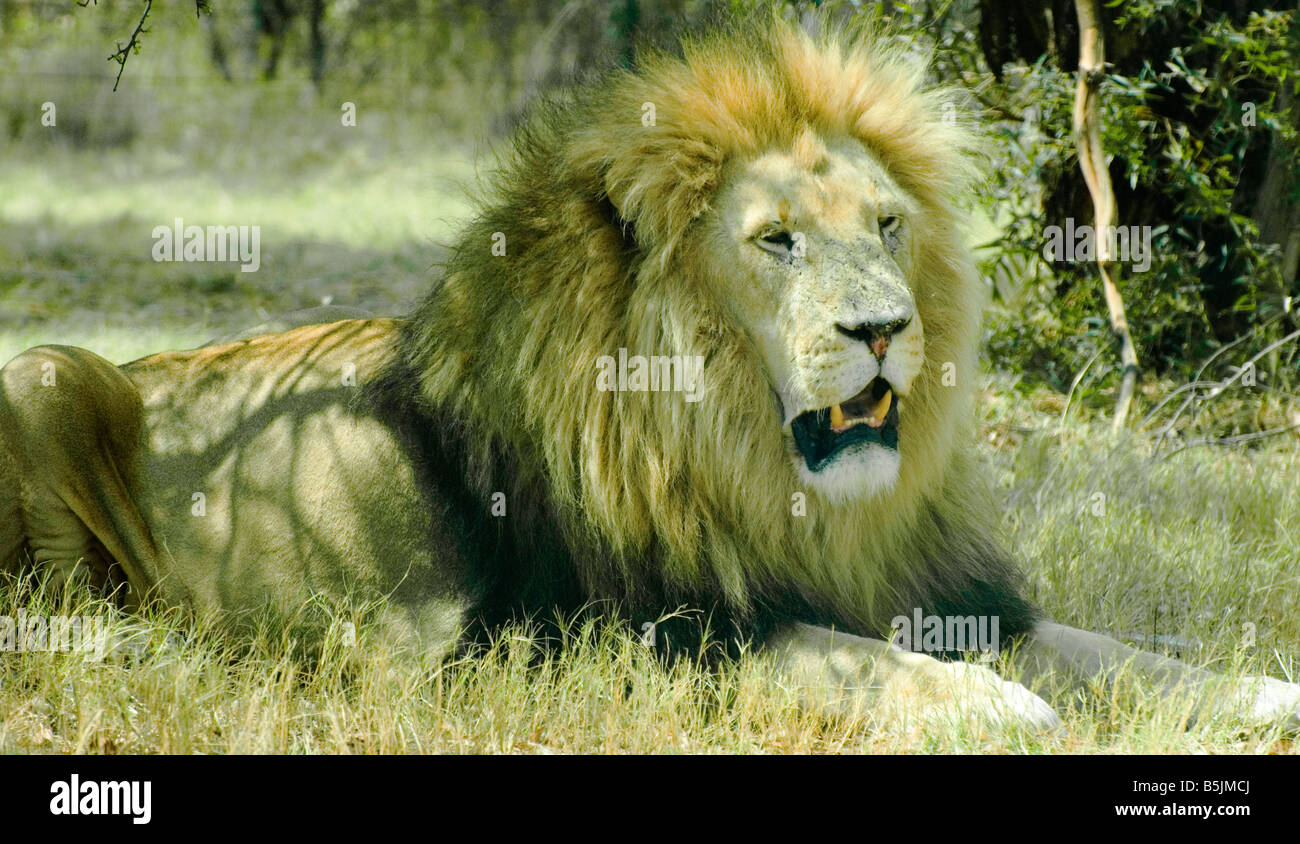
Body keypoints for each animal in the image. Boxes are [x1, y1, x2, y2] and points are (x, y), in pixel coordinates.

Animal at [2, 17, 1297, 732]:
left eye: (886, 224)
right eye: (777, 242)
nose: (886, 328)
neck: (752, 469)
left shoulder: (931, 581)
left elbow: (1114, 652)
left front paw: (1260, 695)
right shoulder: (587, 634)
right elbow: (836, 655)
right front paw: (994, 707)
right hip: (44, 372)